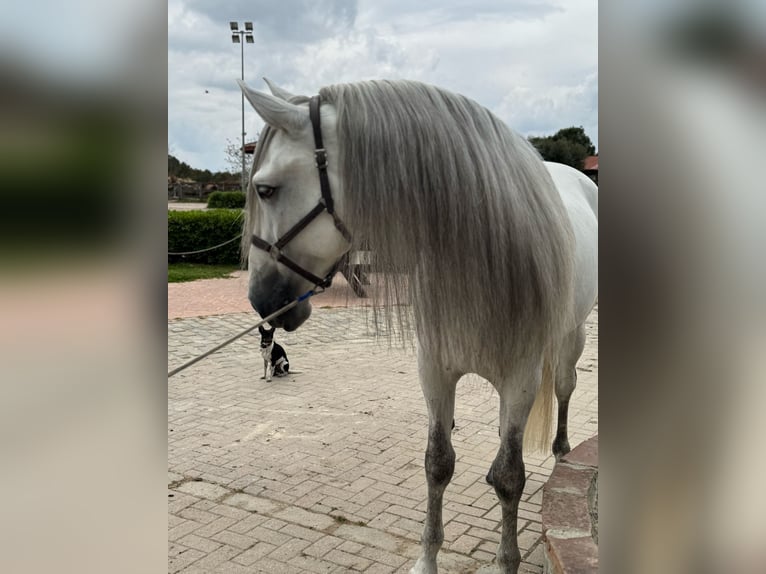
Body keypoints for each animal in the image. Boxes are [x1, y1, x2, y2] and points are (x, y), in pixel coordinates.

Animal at [238, 77, 598, 574]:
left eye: (267, 190)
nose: (260, 300)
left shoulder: (519, 379)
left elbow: (509, 477)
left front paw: (506, 561)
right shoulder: (435, 371)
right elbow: (438, 464)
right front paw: (426, 559)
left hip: (569, 340)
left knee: (564, 389)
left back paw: (563, 451)